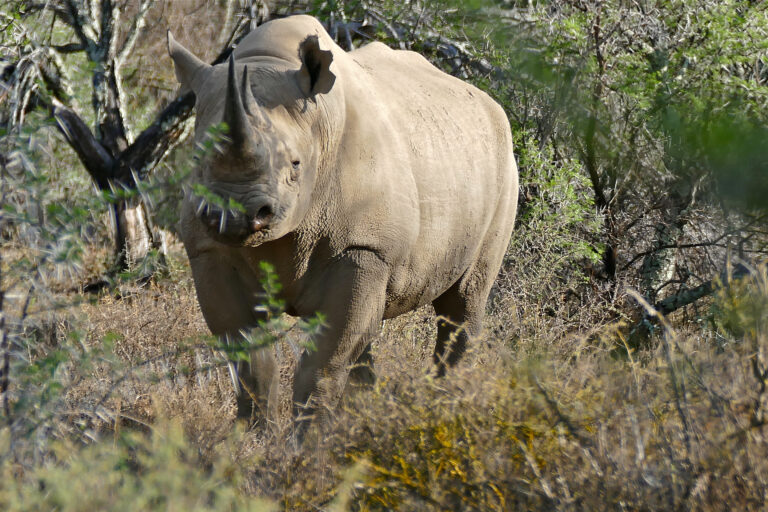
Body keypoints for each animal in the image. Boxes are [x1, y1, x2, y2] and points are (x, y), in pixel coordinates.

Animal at [168, 15, 518, 421]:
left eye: (295, 164)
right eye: (197, 160)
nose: (237, 215)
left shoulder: (365, 247)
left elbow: (323, 364)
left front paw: (309, 436)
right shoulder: (209, 249)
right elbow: (252, 364)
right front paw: (253, 434)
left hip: (503, 169)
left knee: (462, 305)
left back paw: (447, 411)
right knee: (366, 337)